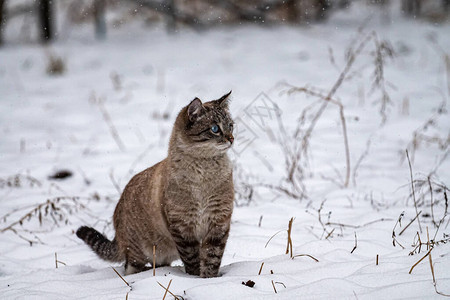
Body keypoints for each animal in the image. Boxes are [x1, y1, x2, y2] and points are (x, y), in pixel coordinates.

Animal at [76, 90, 236, 278]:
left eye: (231, 126)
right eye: (215, 129)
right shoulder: (183, 228)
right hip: (137, 253)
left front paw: (209, 279)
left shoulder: (218, 223)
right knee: (129, 268)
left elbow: (212, 260)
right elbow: (193, 261)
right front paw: (195, 279)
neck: (204, 172)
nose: (231, 139)